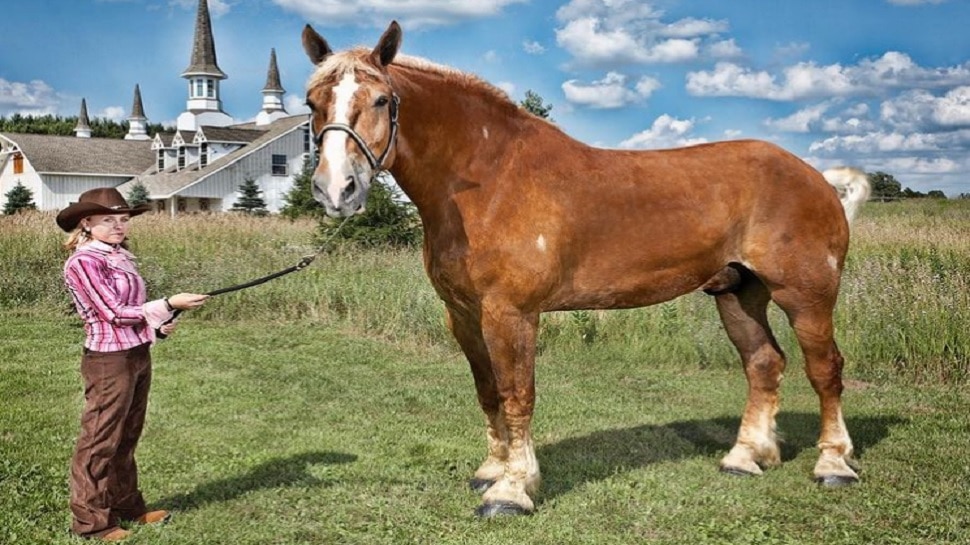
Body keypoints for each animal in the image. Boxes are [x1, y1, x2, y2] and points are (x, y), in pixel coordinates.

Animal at [301, 21, 871, 517]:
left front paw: (511, 490)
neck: (491, 178)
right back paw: (746, 457)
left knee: (825, 369)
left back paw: (833, 464)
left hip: (806, 295)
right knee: (763, 363)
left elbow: (516, 394)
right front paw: (492, 470)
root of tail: (817, 178)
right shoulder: (462, 314)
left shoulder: (511, 314)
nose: (336, 190)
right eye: (313, 103)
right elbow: (487, 391)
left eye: (381, 100)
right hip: (738, 292)